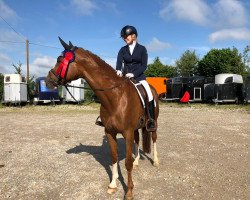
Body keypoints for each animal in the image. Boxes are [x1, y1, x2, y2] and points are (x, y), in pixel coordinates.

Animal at [46, 38, 159, 200]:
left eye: (59, 59)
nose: (48, 80)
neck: (116, 97)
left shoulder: (127, 132)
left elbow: (127, 163)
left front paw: (129, 191)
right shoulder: (110, 132)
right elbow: (113, 157)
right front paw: (112, 185)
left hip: (153, 122)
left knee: (154, 138)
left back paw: (155, 161)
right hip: (137, 127)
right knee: (138, 140)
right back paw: (138, 161)